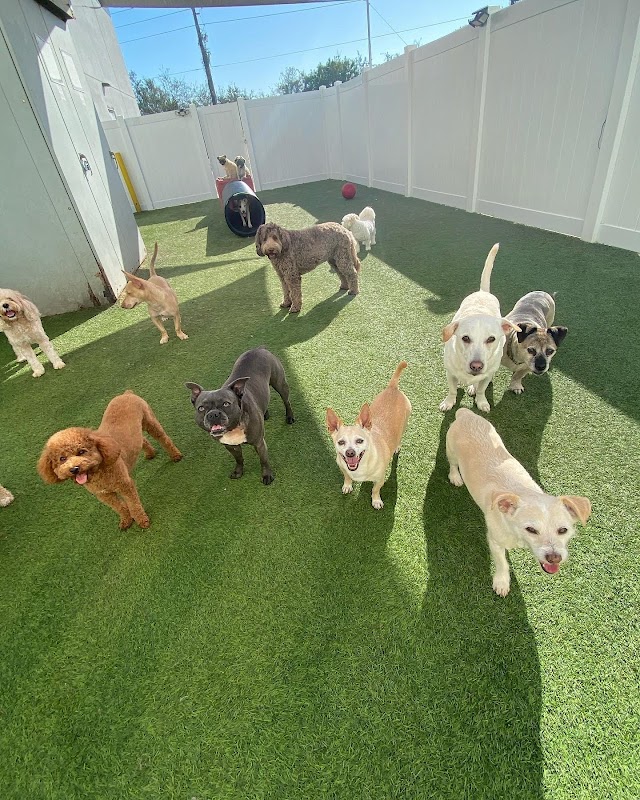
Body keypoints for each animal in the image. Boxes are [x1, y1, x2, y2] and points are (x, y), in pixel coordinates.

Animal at [37, 391, 182, 530]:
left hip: (150, 422)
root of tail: (126, 394)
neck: (99, 473)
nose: (74, 469)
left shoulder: (125, 486)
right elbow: (119, 507)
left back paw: (176, 455)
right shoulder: (104, 495)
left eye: (82, 451)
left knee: (164, 439)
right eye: (62, 459)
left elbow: (133, 505)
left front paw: (142, 521)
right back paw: (150, 454)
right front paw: (126, 521)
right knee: (142, 440)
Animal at [186, 346, 295, 485]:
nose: (213, 414)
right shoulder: (230, 446)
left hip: (280, 384)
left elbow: (263, 460)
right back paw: (265, 414)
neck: (233, 428)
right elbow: (239, 459)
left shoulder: (259, 443)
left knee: (286, 401)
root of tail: (259, 348)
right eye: (201, 408)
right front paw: (238, 471)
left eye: (226, 403)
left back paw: (290, 417)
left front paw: (267, 475)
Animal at [326, 361, 411, 510]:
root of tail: (393, 387)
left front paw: (376, 500)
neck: (359, 467)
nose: (350, 453)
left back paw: (397, 447)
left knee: (400, 437)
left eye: (360, 441)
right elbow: (347, 476)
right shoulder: (343, 468)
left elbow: (375, 489)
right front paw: (347, 485)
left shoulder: (380, 479)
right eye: (341, 442)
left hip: (405, 423)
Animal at [439, 243, 519, 413]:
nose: (476, 366)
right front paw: (448, 402)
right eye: (465, 338)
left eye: (491, 339)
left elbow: (482, 389)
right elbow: (452, 389)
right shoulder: (450, 373)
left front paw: (482, 402)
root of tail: (483, 292)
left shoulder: (487, 374)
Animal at [446, 407, 591, 596]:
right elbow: (502, 563)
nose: (554, 558)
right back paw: (455, 476)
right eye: (531, 529)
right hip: (451, 451)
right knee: (452, 464)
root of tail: (465, 414)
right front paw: (502, 582)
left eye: (563, 530)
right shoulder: (495, 541)